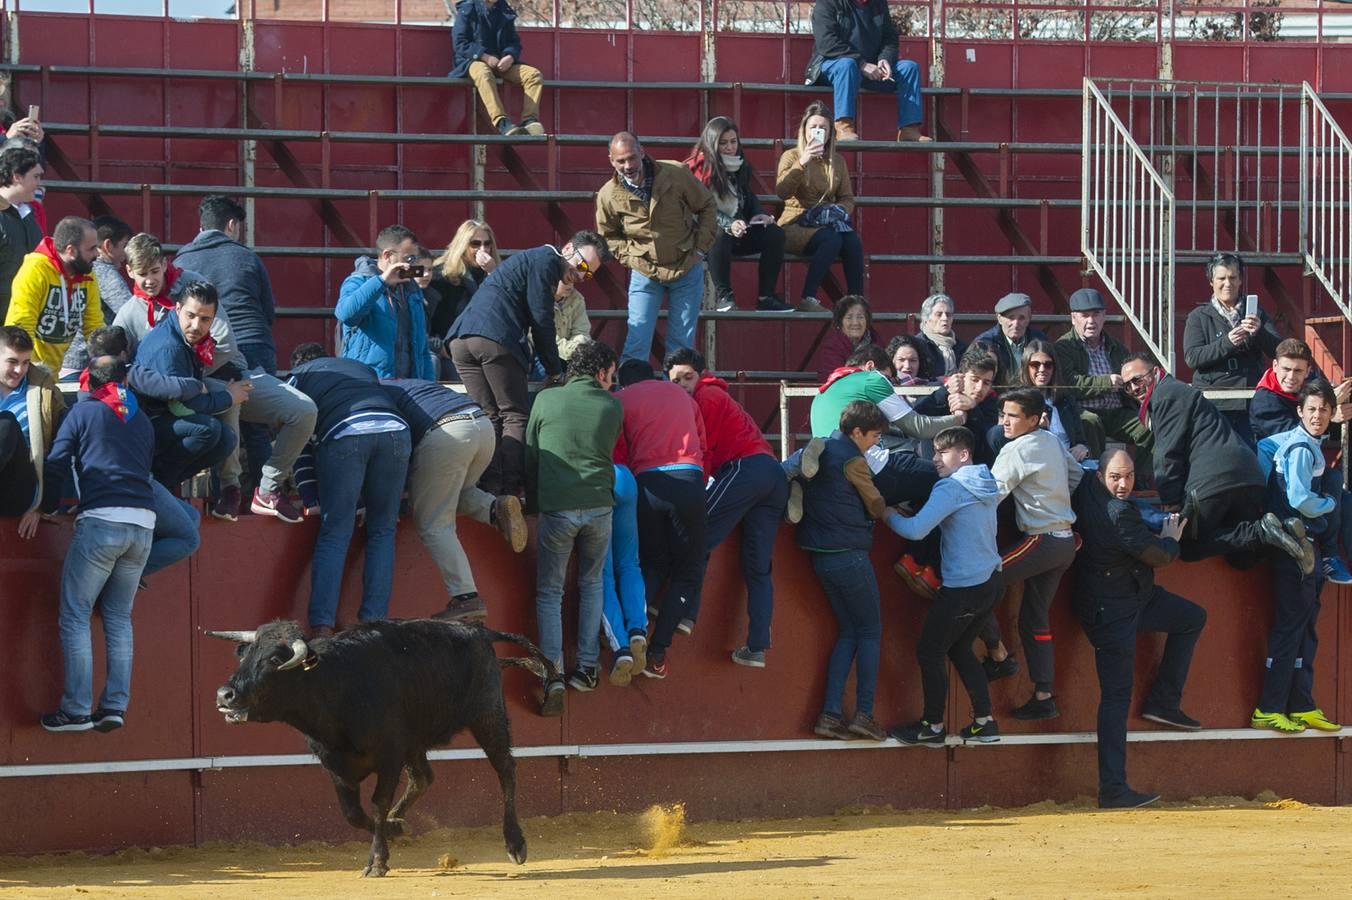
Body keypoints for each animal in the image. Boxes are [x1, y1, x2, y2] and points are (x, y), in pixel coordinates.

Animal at [206, 621, 554, 870]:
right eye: (245, 656)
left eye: (275, 659)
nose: (225, 695)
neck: (334, 685)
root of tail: (479, 631)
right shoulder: (335, 765)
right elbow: (354, 813)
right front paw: (393, 830)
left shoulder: (389, 757)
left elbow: (376, 803)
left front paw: (377, 861)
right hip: (416, 742)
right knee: (423, 778)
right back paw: (398, 823)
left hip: (488, 716)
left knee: (505, 769)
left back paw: (515, 843)